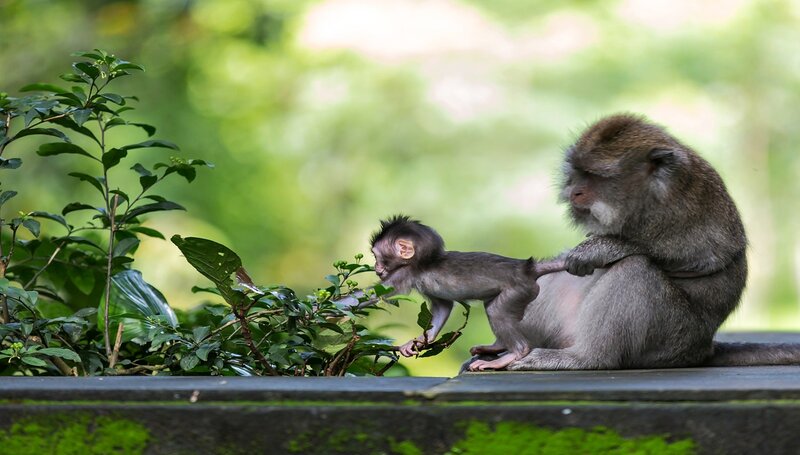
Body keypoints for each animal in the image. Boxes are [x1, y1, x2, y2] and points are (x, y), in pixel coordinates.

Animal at [368, 215, 565, 371]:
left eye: (377, 256)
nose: (376, 267)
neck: (426, 260)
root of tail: (527, 268)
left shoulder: (404, 274)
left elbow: (375, 293)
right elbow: (443, 307)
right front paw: (419, 341)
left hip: (518, 291)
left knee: (497, 311)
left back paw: (513, 354)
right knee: (492, 305)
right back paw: (497, 346)